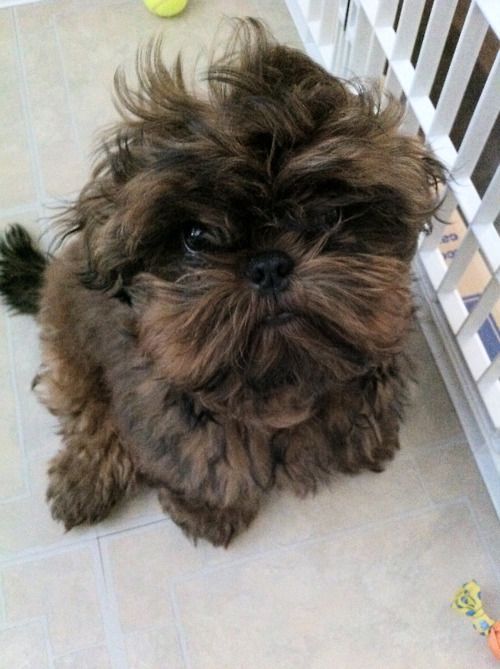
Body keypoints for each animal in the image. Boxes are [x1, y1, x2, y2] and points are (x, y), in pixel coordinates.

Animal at [0, 20, 446, 544]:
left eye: (329, 215)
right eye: (194, 236)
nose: (269, 265)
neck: (278, 384)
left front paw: (367, 443)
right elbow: (205, 466)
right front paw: (208, 511)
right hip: (70, 336)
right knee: (83, 402)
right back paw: (86, 477)